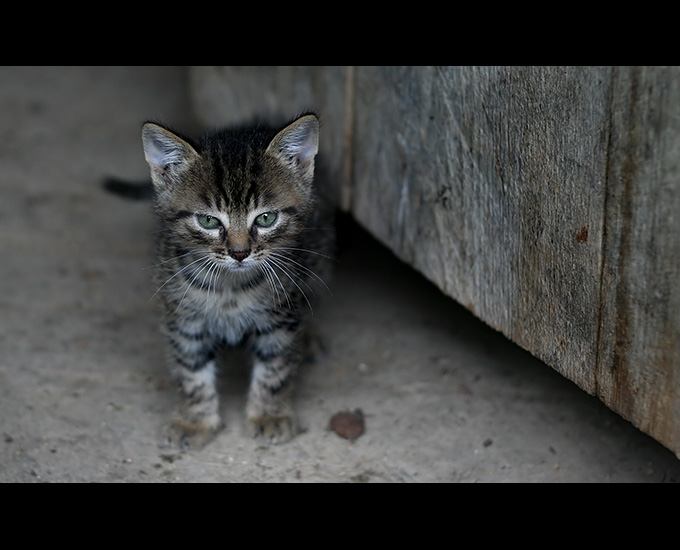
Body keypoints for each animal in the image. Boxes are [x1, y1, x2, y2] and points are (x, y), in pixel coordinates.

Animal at [135, 114, 332, 450]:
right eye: (208, 221)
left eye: (266, 218)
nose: (239, 253)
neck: (230, 286)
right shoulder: (183, 319)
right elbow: (191, 372)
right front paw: (193, 421)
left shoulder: (279, 317)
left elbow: (275, 368)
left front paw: (269, 415)